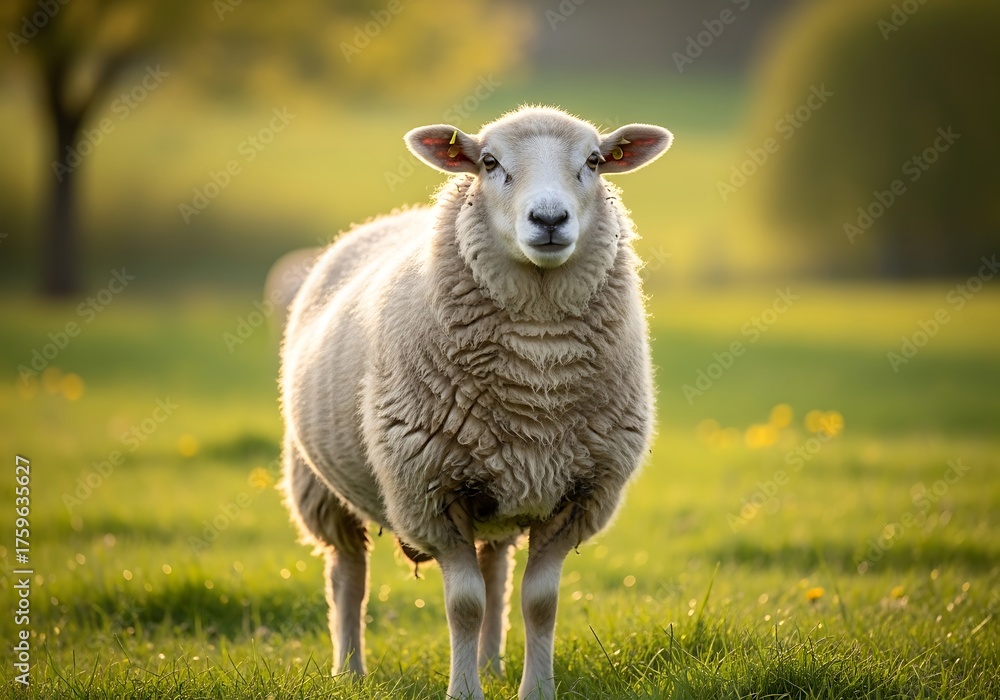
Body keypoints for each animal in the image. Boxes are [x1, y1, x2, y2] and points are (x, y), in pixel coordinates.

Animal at [279, 105, 672, 700]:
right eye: (488, 162)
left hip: (504, 491)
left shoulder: (577, 494)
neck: (538, 363)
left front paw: (536, 690)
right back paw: (349, 669)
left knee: (496, 572)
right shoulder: (431, 491)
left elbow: (540, 603)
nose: (550, 218)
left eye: (594, 161)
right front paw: (463, 691)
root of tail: (390, 217)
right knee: (347, 575)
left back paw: (492, 664)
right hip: (319, 485)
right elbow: (464, 605)